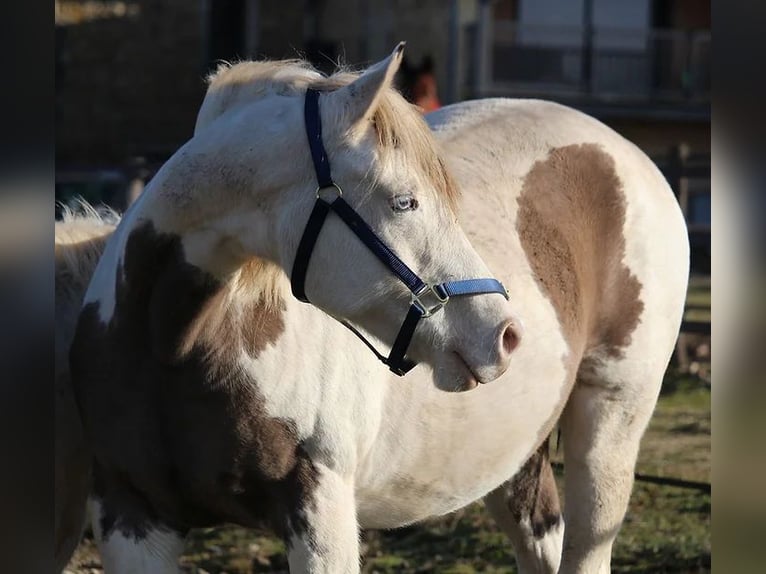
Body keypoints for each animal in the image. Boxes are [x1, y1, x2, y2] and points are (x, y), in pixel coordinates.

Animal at [66, 46, 688, 574]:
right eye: (405, 201)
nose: (506, 334)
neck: (172, 350)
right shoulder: (132, 518)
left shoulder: (320, 519)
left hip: (610, 423)